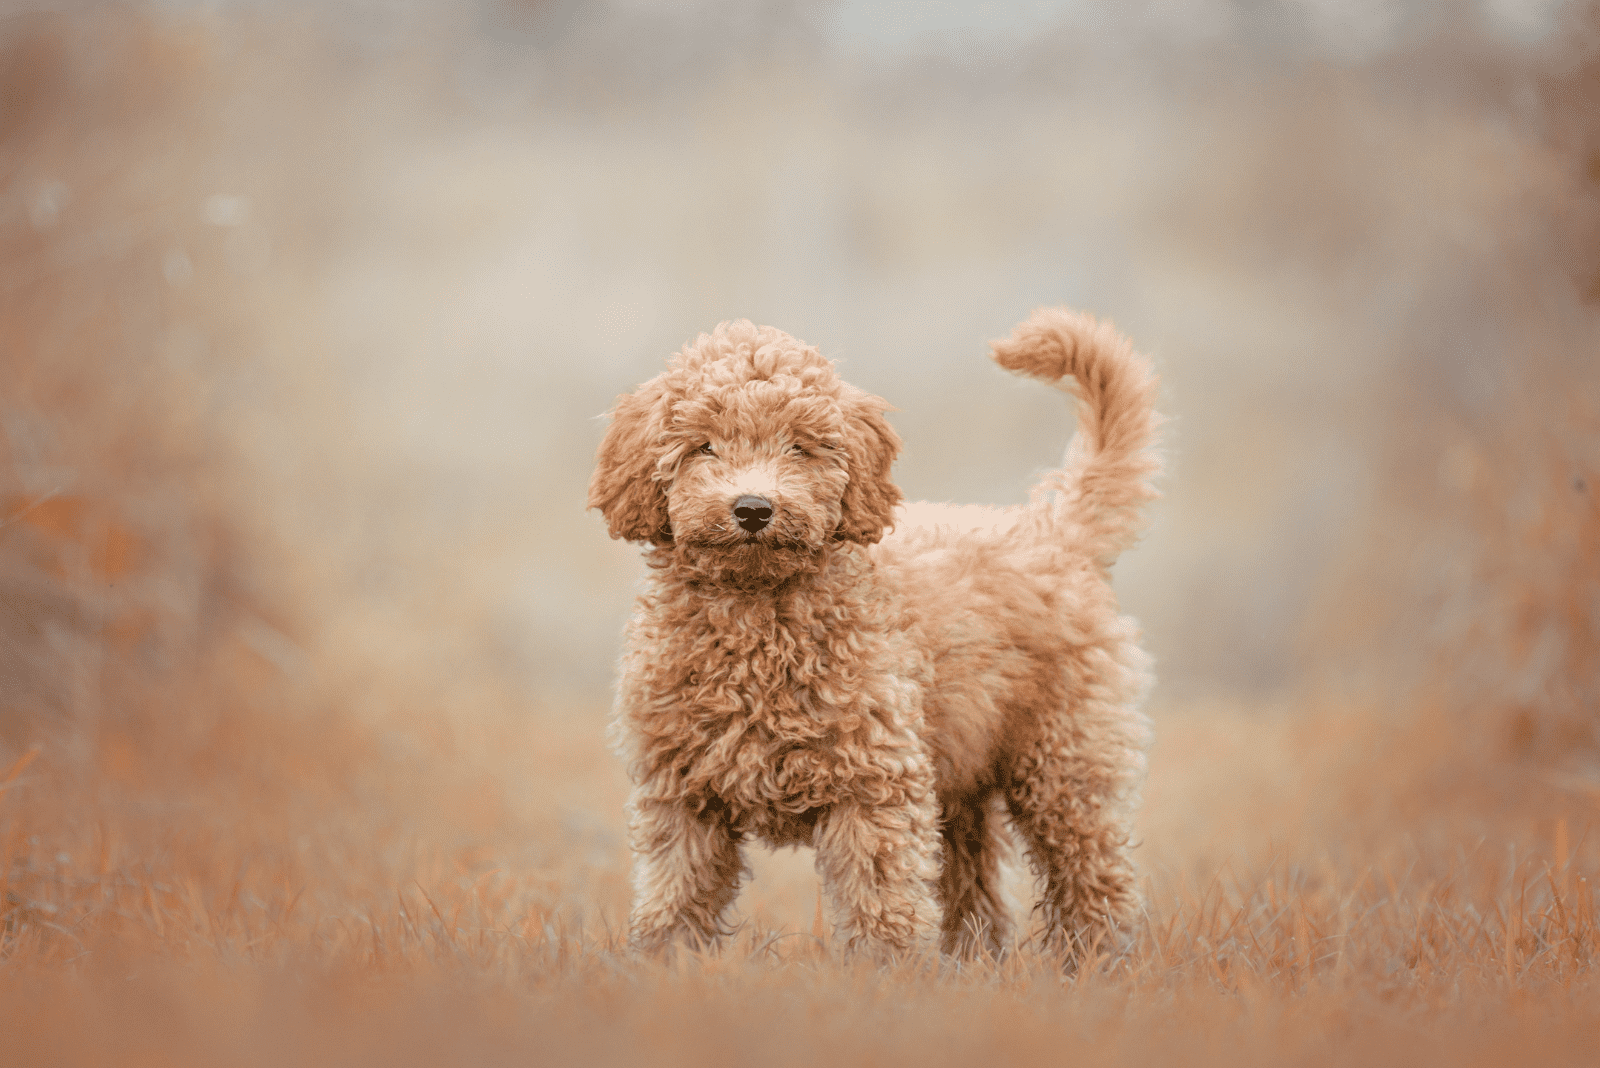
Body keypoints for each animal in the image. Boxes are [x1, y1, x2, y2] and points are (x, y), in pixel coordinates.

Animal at [588, 306, 1164, 959]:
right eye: (703, 446)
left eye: (800, 447)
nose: (753, 508)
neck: (758, 616)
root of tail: (1055, 530)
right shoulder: (683, 793)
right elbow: (676, 892)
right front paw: (668, 964)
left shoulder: (875, 783)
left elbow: (880, 894)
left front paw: (886, 972)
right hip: (961, 784)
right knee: (977, 888)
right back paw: (973, 962)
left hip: (1066, 762)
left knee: (1094, 875)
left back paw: (1098, 963)